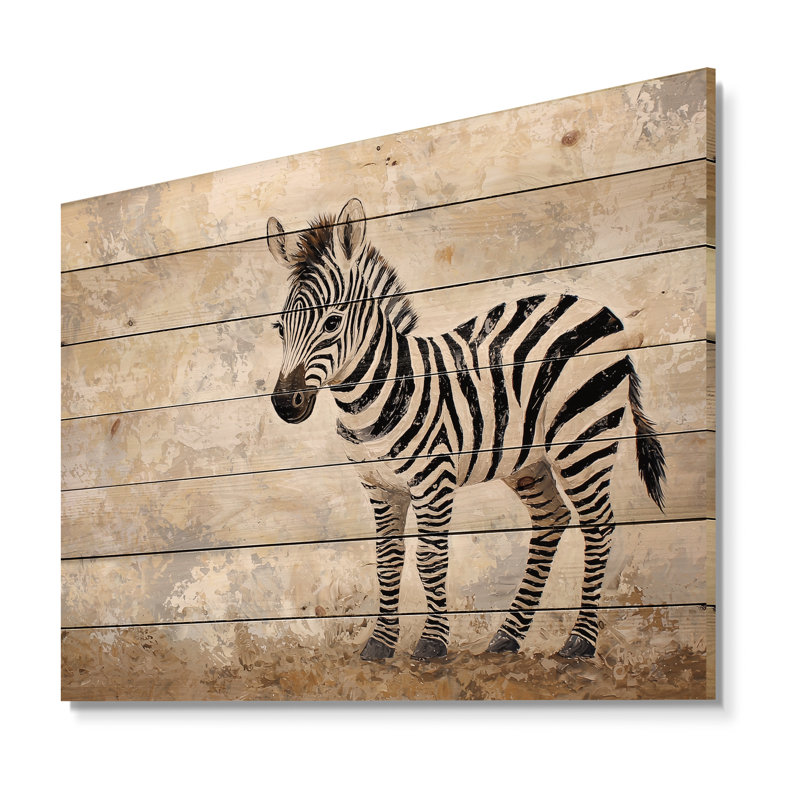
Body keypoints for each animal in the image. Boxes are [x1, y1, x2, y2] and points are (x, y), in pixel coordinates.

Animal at [268, 198, 666, 662]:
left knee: (598, 525)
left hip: (583, 439)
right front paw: (380, 644)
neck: (375, 396)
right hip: (527, 461)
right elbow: (387, 560)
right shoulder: (379, 487)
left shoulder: (433, 479)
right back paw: (507, 636)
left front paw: (431, 643)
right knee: (551, 519)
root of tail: (599, 309)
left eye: (332, 323)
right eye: (279, 326)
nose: (285, 404)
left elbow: (430, 559)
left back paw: (580, 641)